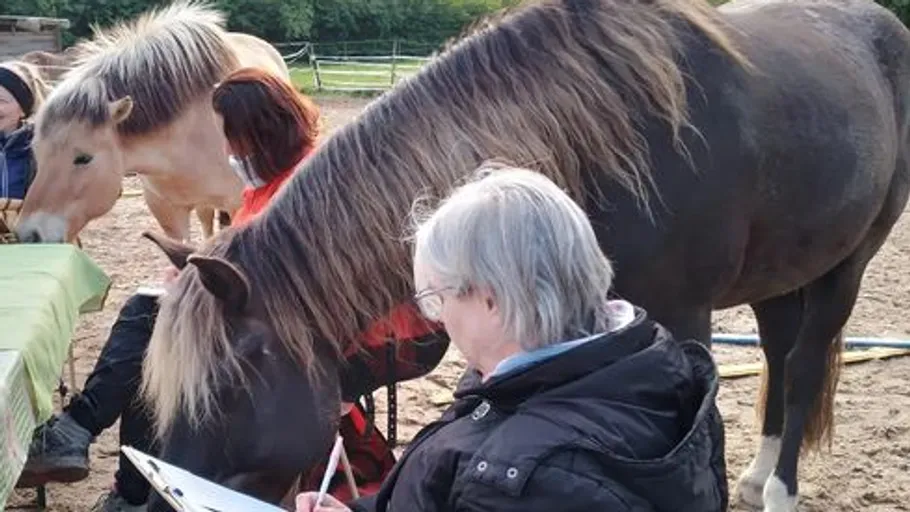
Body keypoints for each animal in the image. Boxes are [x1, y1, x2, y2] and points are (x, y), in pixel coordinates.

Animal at [139, 0, 910, 510]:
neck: (604, 141)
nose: (165, 488)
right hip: (780, 272)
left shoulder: (685, 319)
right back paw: (759, 477)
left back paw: (779, 490)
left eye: (225, 395)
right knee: (779, 350)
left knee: (804, 363)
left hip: (847, 265)